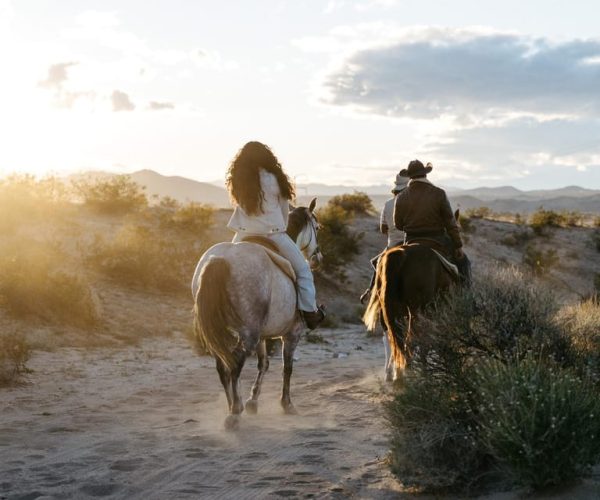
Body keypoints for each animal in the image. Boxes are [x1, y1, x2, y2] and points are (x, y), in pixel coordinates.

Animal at [192, 199, 324, 430]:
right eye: (317, 227)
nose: (318, 258)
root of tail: (219, 260)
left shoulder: (262, 335)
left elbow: (264, 364)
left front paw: (253, 401)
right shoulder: (291, 334)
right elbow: (287, 367)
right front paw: (286, 404)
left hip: (229, 332)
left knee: (223, 364)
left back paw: (232, 405)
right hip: (249, 334)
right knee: (235, 362)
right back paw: (234, 412)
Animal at [364, 244, 458, 380]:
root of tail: (400, 255)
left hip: (392, 312)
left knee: (396, 340)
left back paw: (398, 374)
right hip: (416, 311)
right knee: (412, 339)